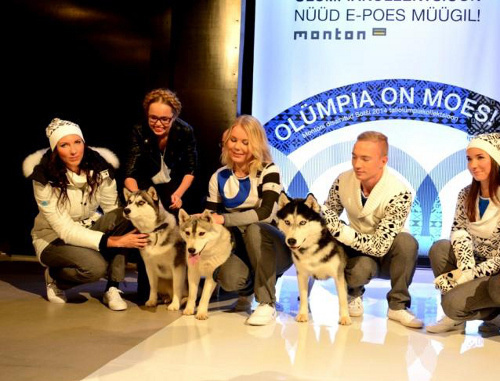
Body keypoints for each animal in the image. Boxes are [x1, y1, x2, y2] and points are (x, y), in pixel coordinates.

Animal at [278, 193, 352, 324]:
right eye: (287, 222)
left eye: (303, 222)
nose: (291, 241)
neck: (312, 248)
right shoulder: (301, 274)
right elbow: (303, 295)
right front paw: (302, 314)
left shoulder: (338, 275)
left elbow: (342, 298)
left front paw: (344, 317)